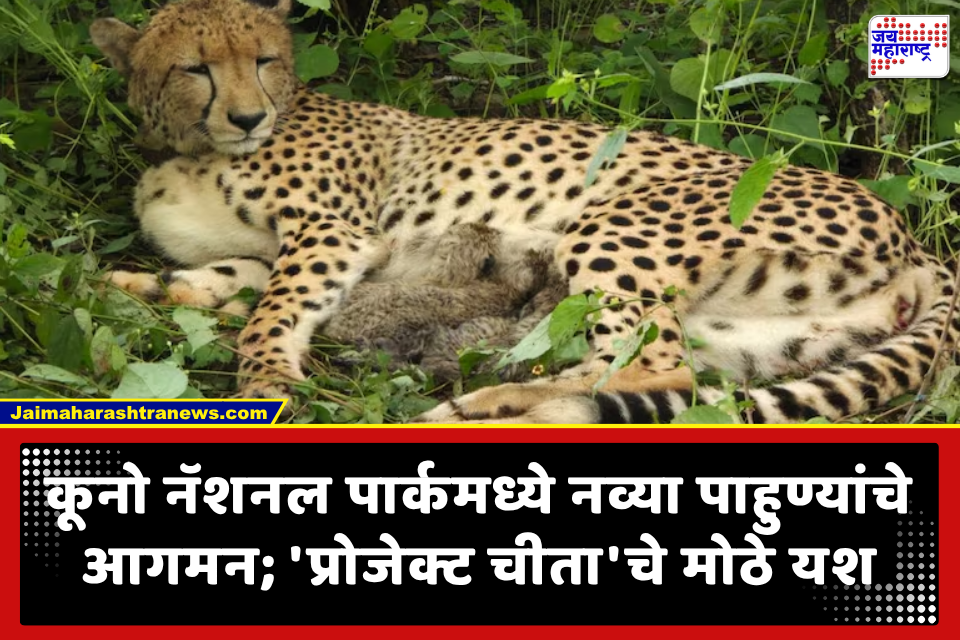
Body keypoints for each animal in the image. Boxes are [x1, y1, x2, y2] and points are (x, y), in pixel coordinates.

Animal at [90, 0, 959, 423]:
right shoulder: (281, 250)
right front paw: (134, 289)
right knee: (664, 380)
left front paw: (265, 378)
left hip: (614, 226)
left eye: (265, 59)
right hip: (759, 338)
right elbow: (224, 280)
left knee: (652, 364)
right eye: (195, 68)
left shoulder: (332, 233)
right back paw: (493, 404)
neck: (191, 145)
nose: (247, 117)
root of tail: (917, 240)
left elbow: (271, 311)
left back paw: (476, 407)